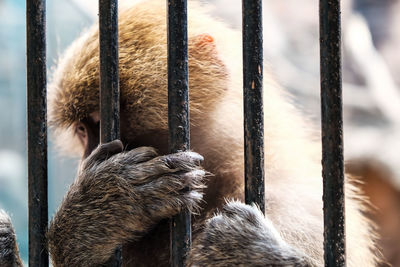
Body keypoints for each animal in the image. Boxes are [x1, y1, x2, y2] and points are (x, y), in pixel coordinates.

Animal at [0, 0, 382, 266]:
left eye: (97, 123)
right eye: (82, 130)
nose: (85, 162)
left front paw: (247, 253)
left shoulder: (297, 208)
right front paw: (95, 215)